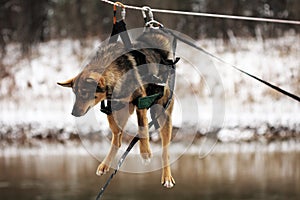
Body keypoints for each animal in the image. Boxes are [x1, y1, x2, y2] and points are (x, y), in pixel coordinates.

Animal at [57, 30, 176, 188]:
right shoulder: (112, 108)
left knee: (165, 151)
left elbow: (142, 127)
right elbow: (119, 134)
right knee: (117, 140)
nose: (73, 113)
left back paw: (167, 176)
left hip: (163, 116)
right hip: (120, 112)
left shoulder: (141, 101)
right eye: (75, 94)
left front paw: (145, 152)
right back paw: (105, 164)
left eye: (84, 93)